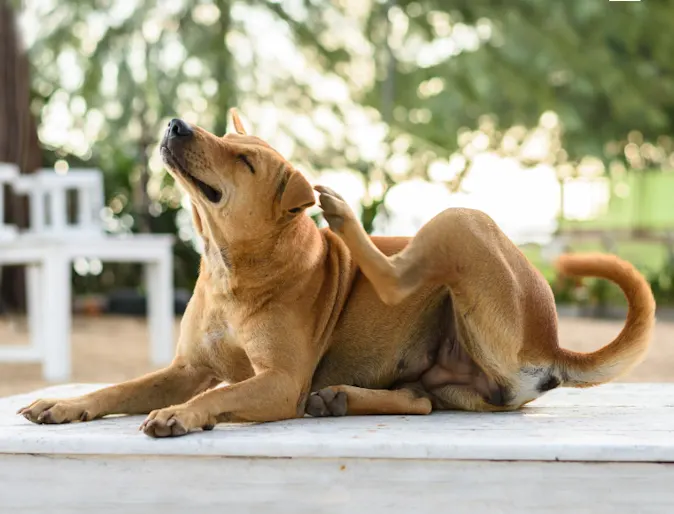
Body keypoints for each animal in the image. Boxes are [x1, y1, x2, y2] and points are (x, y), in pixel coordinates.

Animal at [18, 109, 652, 436]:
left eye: (243, 159)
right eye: (225, 136)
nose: (177, 124)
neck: (232, 268)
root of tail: (550, 340)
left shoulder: (279, 381)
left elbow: (220, 394)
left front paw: (181, 414)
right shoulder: (186, 368)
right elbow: (119, 388)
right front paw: (66, 404)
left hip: (461, 223)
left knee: (398, 276)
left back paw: (344, 217)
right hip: (451, 381)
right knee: (420, 400)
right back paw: (342, 398)